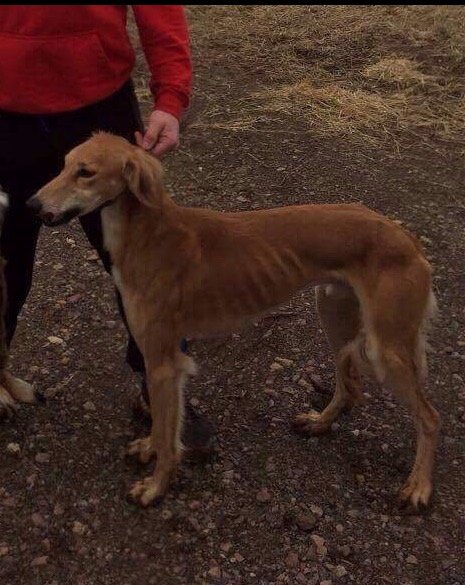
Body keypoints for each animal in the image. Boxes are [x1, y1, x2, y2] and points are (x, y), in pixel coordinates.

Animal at [28, 133, 440, 509]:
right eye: (63, 164)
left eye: (86, 172)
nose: (31, 205)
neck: (149, 234)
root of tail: (406, 237)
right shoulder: (163, 362)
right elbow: (163, 426)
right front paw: (149, 449)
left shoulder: (163, 361)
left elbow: (167, 431)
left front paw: (156, 486)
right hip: (335, 316)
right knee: (350, 387)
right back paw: (320, 422)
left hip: (386, 348)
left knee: (430, 416)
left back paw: (419, 487)